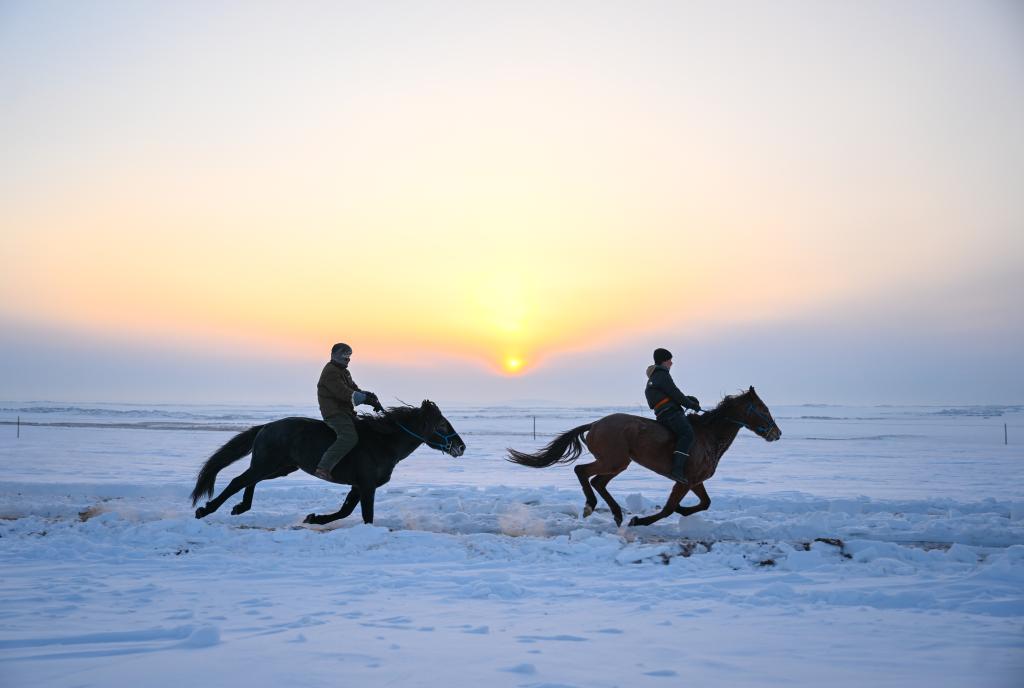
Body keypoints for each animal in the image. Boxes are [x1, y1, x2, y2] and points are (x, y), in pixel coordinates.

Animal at [190, 401, 466, 524]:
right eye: (442, 425)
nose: (461, 447)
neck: (383, 442)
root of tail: (266, 427)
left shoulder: (359, 486)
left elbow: (345, 511)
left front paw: (314, 518)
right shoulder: (366, 485)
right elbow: (365, 515)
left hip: (279, 468)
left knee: (249, 481)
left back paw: (240, 508)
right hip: (268, 464)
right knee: (238, 481)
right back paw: (206, 510)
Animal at [507, 387, 778, 528]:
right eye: (763, 409)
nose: (777, 433)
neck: (708, 436)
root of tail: (595, 424)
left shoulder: (695, 481)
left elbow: (705, 503)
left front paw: (682, 510)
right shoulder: (684, 481)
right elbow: (668, 509)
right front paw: (640, 521)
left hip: (618, 464)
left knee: (597, 482)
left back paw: (616, 514)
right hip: (613, 461)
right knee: (582, 472)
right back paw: (592, 506)